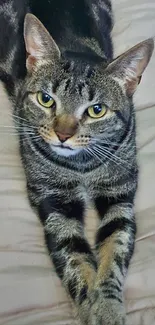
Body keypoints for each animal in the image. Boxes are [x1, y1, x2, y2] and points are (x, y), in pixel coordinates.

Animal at [0, 0, 154, 324]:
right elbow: (74, 259)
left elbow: (114, 249)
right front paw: (89, 308)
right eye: (46, 99)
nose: (62, 134)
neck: (82, 166)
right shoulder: (54, 201)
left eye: (97, 110)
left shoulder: (119, 194)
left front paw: (108, 308)